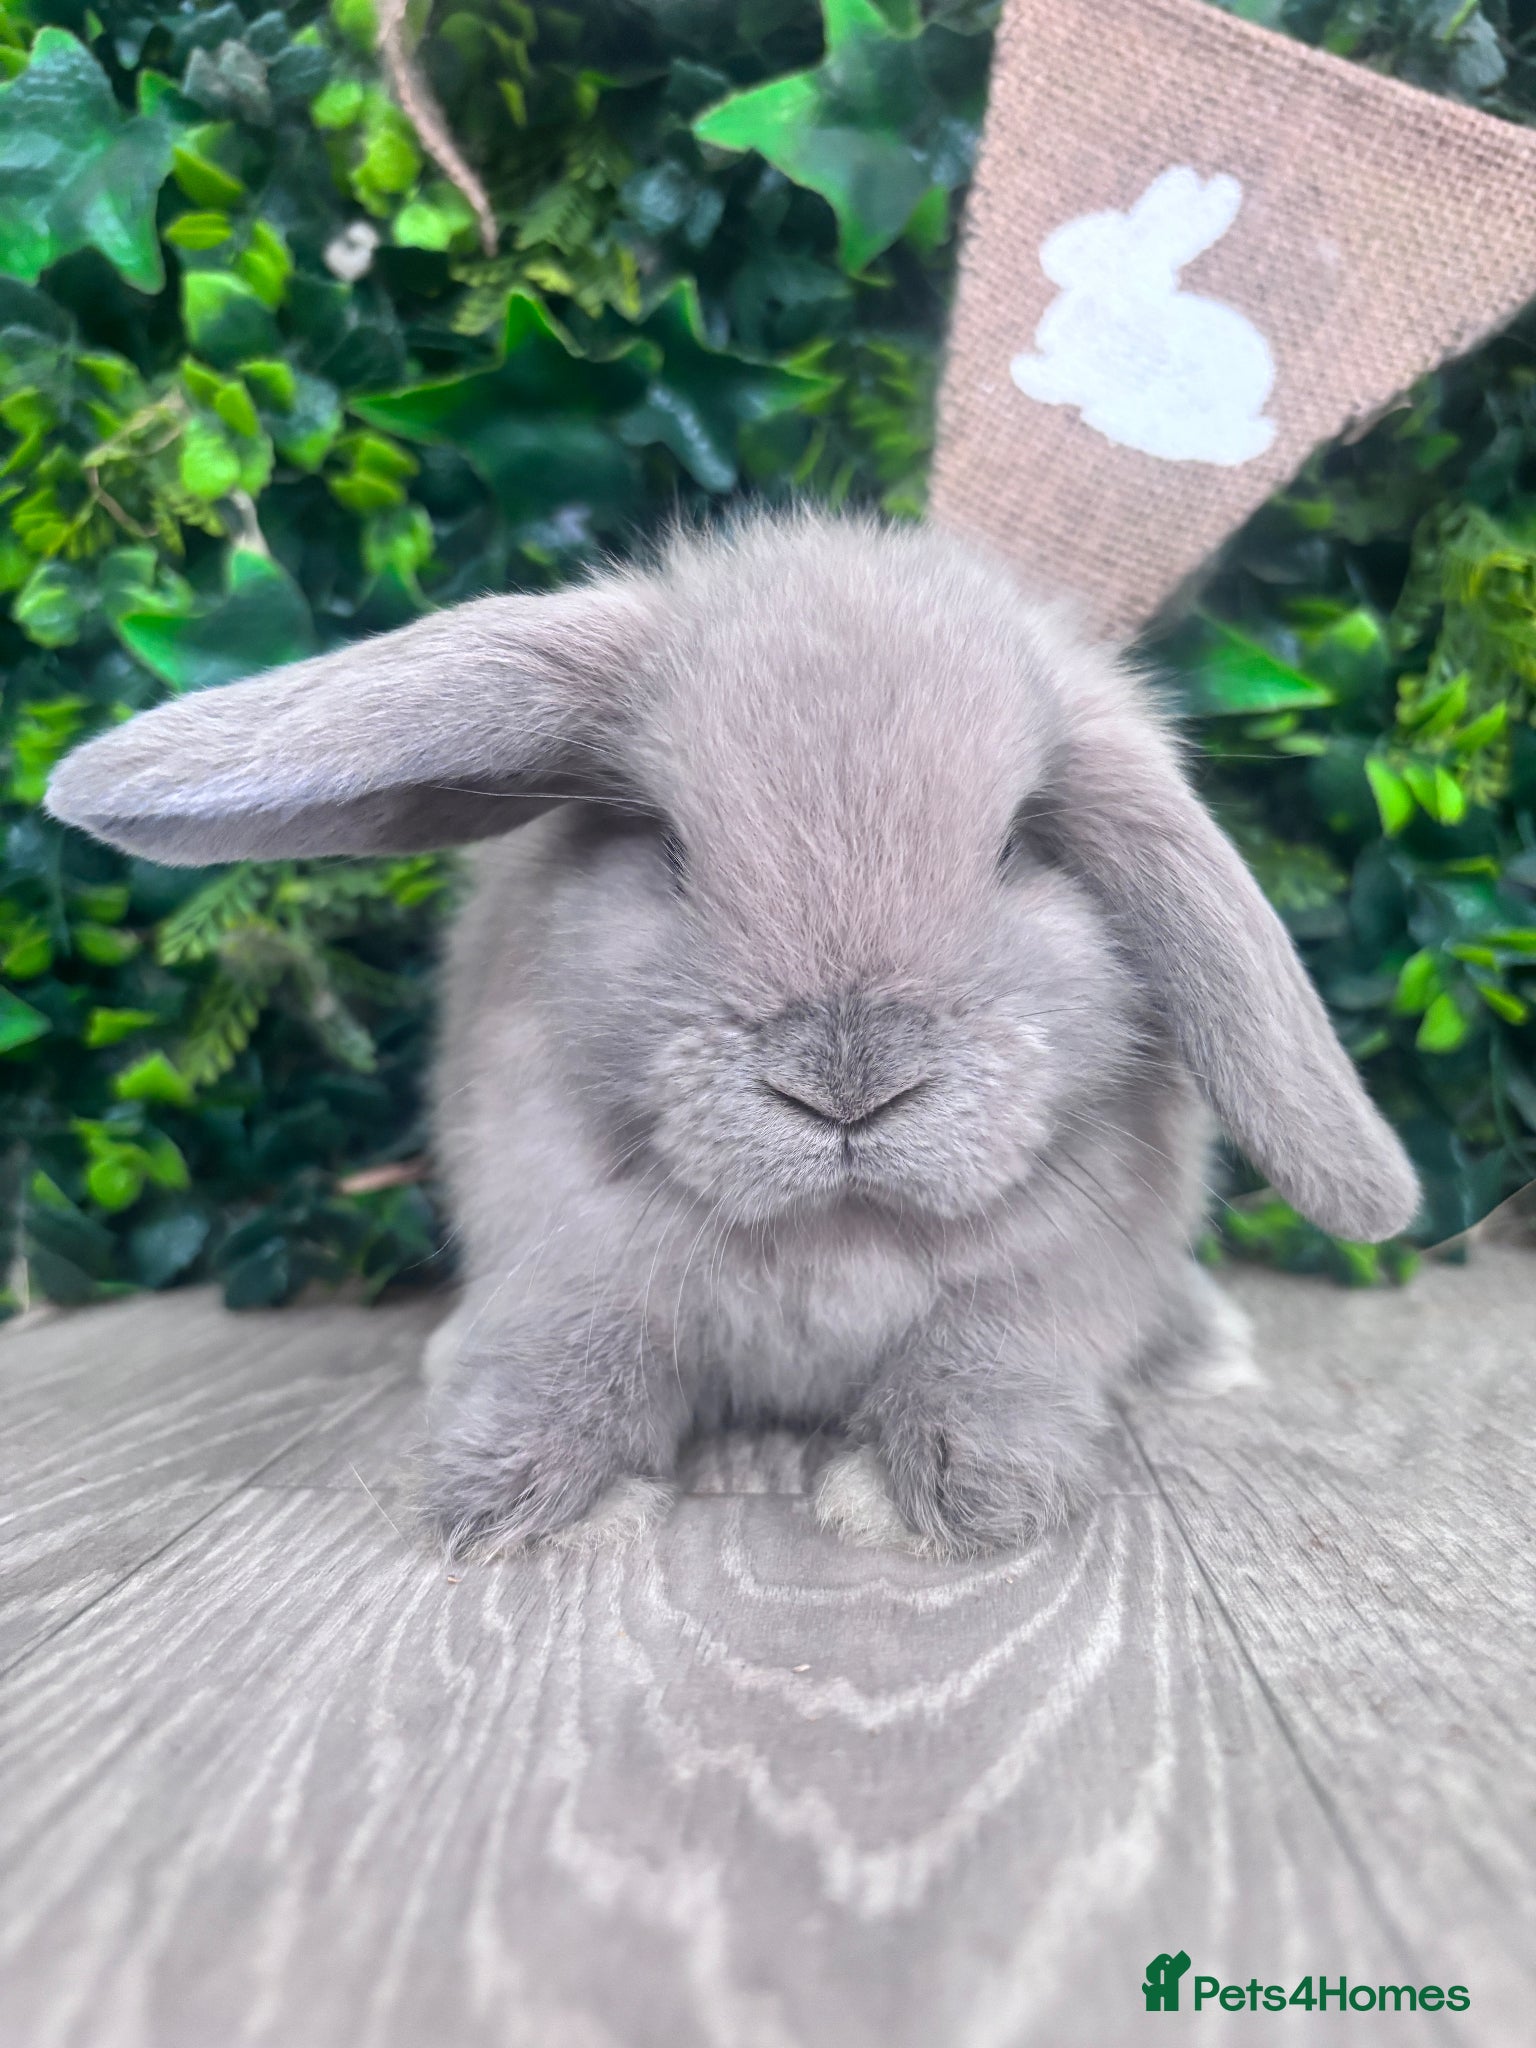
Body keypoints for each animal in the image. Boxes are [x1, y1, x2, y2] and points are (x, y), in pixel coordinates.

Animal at [46, 511, 1418, 1558]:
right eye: (662, 840)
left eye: (1026, 841)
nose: (849, 1087)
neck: (833, 1228)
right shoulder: (568, 1251)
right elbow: (576, 1351)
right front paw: (515, 1490)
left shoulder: (1057, 1281)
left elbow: (989, 1358)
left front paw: (952, 1495)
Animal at [1011, 165, 1278, 467]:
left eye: (1083, 245)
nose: (1047, 254)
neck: (1119, 291)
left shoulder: (1091, 368)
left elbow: (1059, 378)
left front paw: (1024, 371)